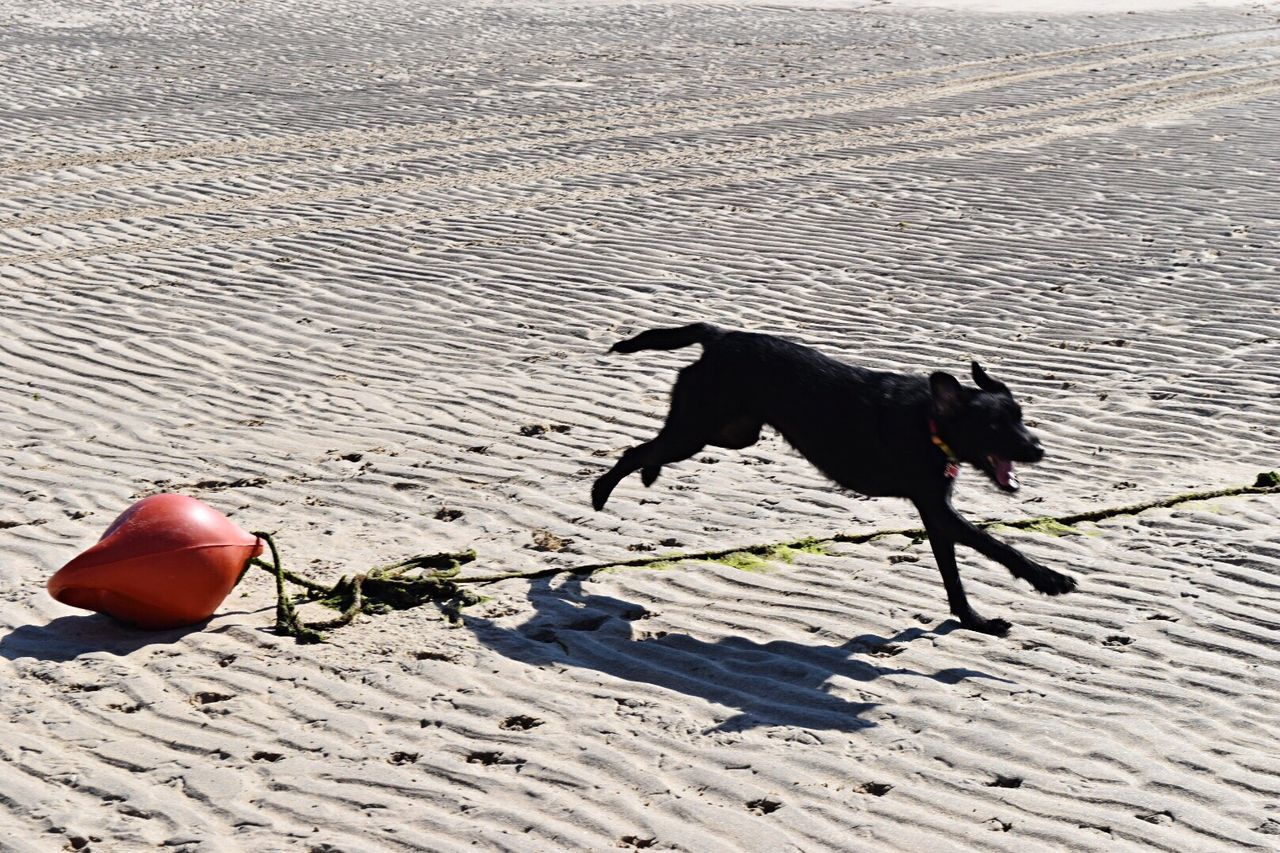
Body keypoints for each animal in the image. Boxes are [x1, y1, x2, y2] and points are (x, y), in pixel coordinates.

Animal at [593, 322, 1075, 635]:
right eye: (994, 427)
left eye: (1020, 418)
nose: (1038, 450)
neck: (930, 421)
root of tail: (719, 337)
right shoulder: (937, 508)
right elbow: (997, 545)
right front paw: (1050, 580)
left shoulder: (936, 516)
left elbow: (953, 575)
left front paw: (975, 621)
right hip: (698, 427)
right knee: (639, 450)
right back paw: (602, 491)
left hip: (732, 433)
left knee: (652, 448)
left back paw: (648, 475)